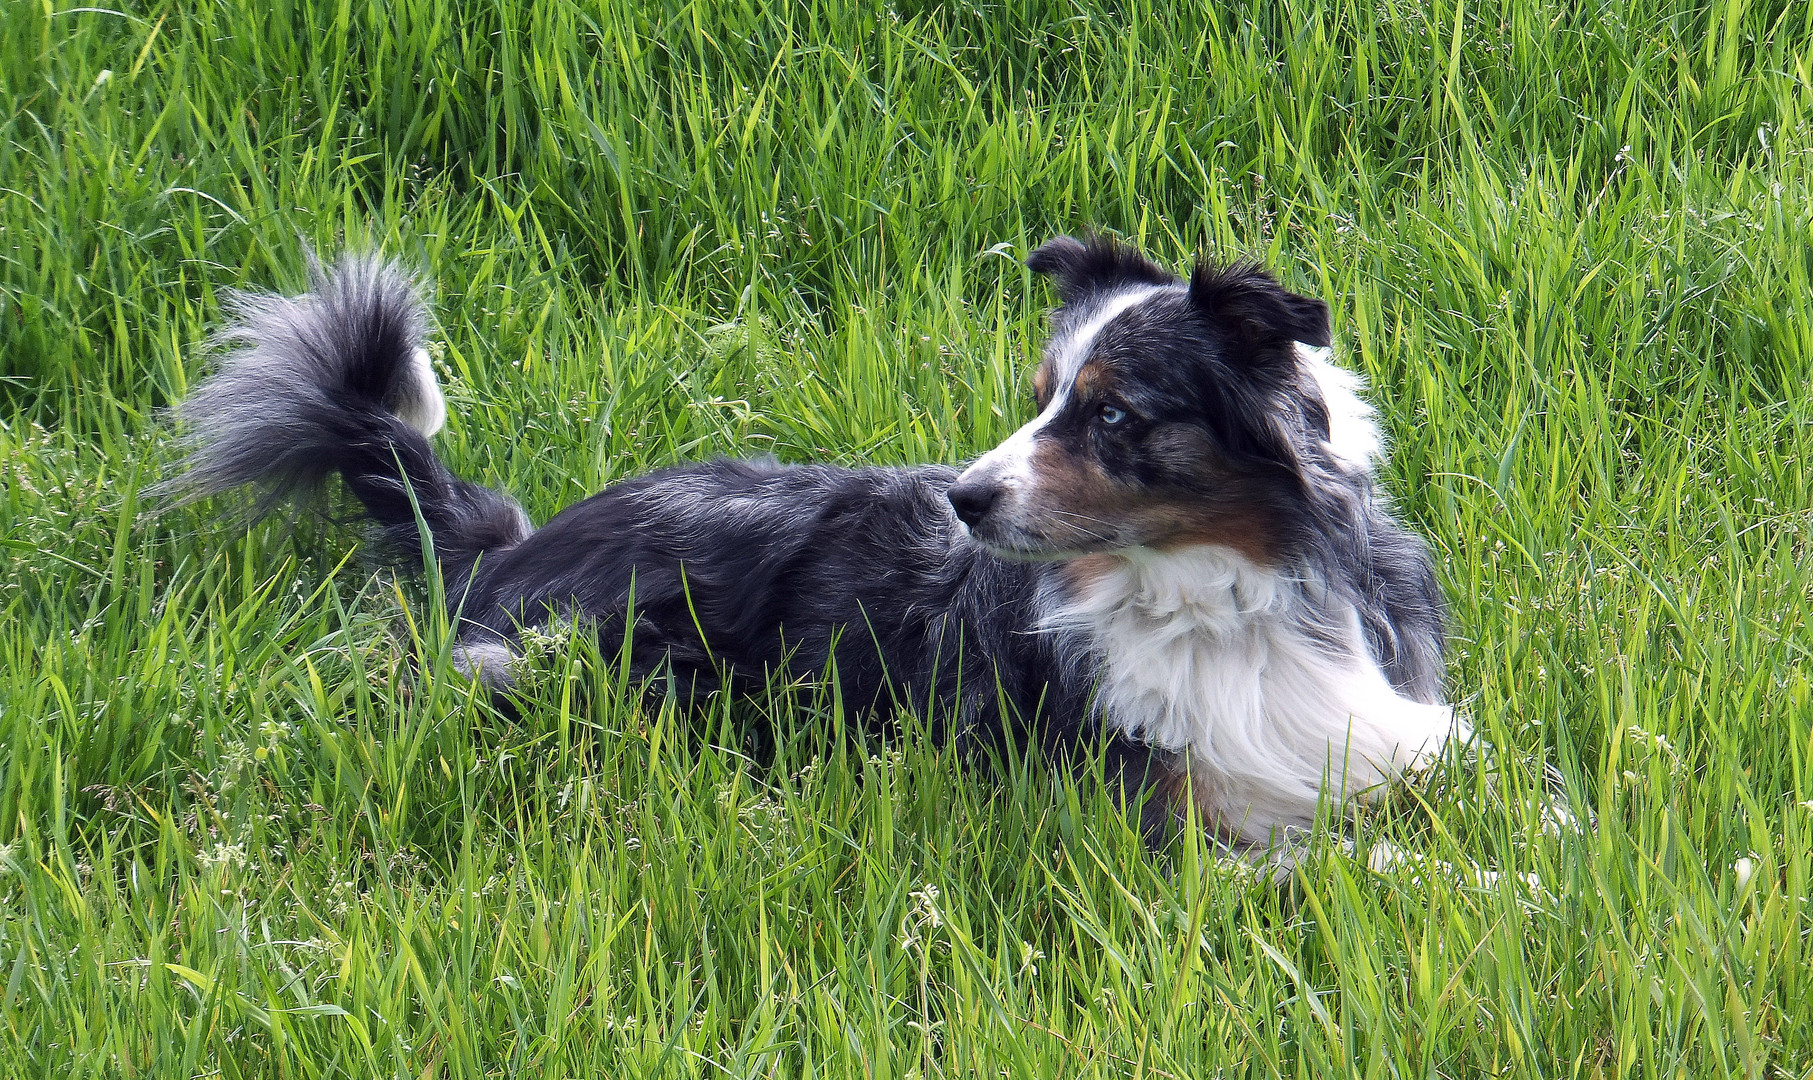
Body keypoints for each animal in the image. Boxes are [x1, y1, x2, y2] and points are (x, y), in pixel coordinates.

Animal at [152, 239, 1457, 858]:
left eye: (1112, 414)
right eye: (1038, 398)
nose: (962, 499)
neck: (1227, 596)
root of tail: (497, 553)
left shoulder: (1397, 739)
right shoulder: (1163, 827)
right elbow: (1354, 867)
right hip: (615, 667)